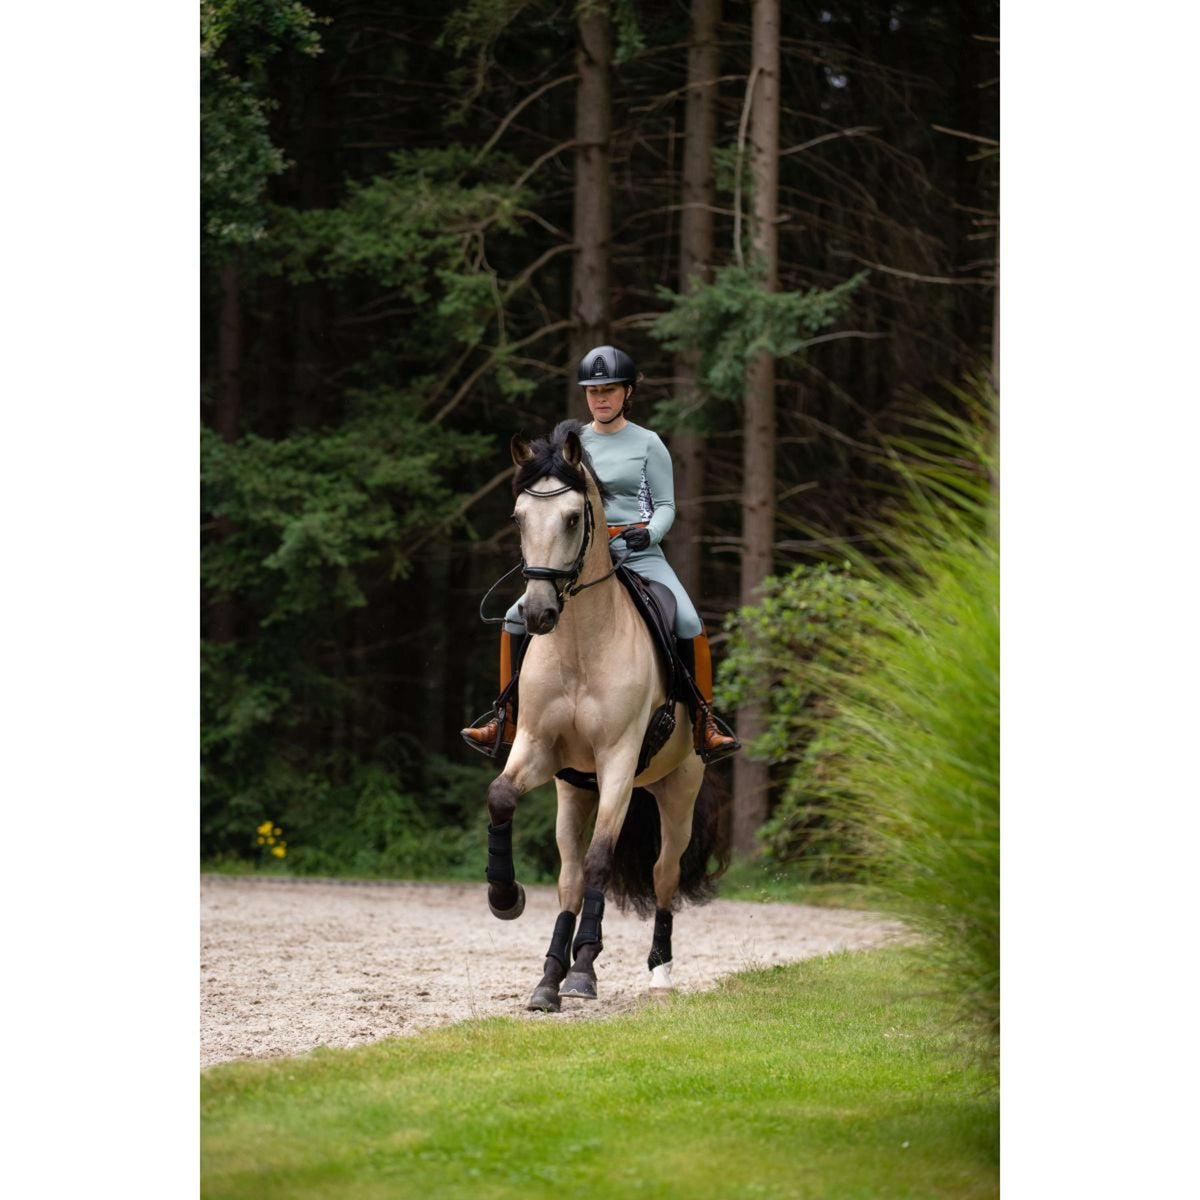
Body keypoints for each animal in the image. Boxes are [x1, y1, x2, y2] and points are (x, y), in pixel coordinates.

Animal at [477, 417, 720, 1008]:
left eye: (571, 517)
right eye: (518, 516)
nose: (538, 613)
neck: (582, 645)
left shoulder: (617, 760)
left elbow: (602, 858)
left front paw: (585, 968)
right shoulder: (538, 747)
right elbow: (501, 798)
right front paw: (505, 897)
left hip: (677, 789)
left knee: (662, 874)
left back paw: (659, 972)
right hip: (574, 788)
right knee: (568, 874)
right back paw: (548, 977)